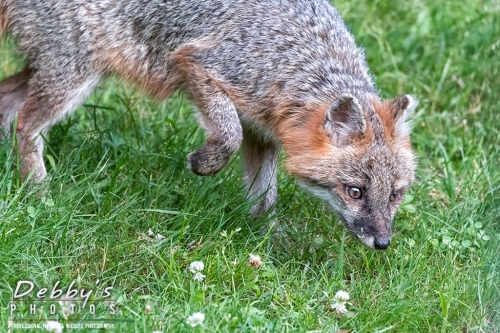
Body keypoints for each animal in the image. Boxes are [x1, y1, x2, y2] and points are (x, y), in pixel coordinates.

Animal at [0, 0, 416, 248]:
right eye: (355, 191)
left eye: (396, 194)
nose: (383, 243)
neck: (296, 57)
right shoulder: (200, 66)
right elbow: (228, 134)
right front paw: (203, 163)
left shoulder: (263, 133)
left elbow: (264, 197)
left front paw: (269, 241)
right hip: (74, 76)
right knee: (25, 125)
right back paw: (38, 192)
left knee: (7, 105)